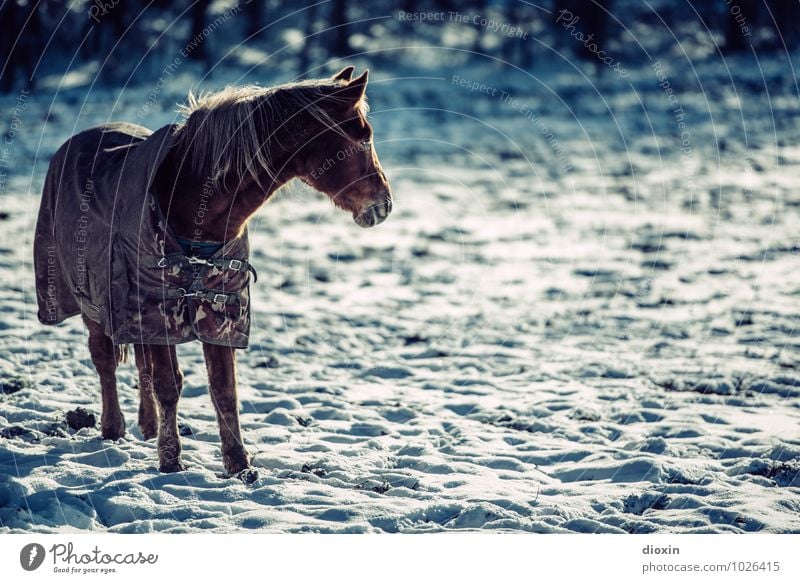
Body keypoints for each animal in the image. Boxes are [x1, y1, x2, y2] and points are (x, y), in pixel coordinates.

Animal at [37, 67, 394, 480]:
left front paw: (239, 464)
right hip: (90, 298)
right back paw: (114, 428)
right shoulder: (158, 307)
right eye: (364, 137)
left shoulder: (222, 309)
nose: (383, 204)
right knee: (104, 359)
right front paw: (170, 460)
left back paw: (147, 427)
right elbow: (168, 384)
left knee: (140, 364)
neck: (193, 205)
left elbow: (223, 388)